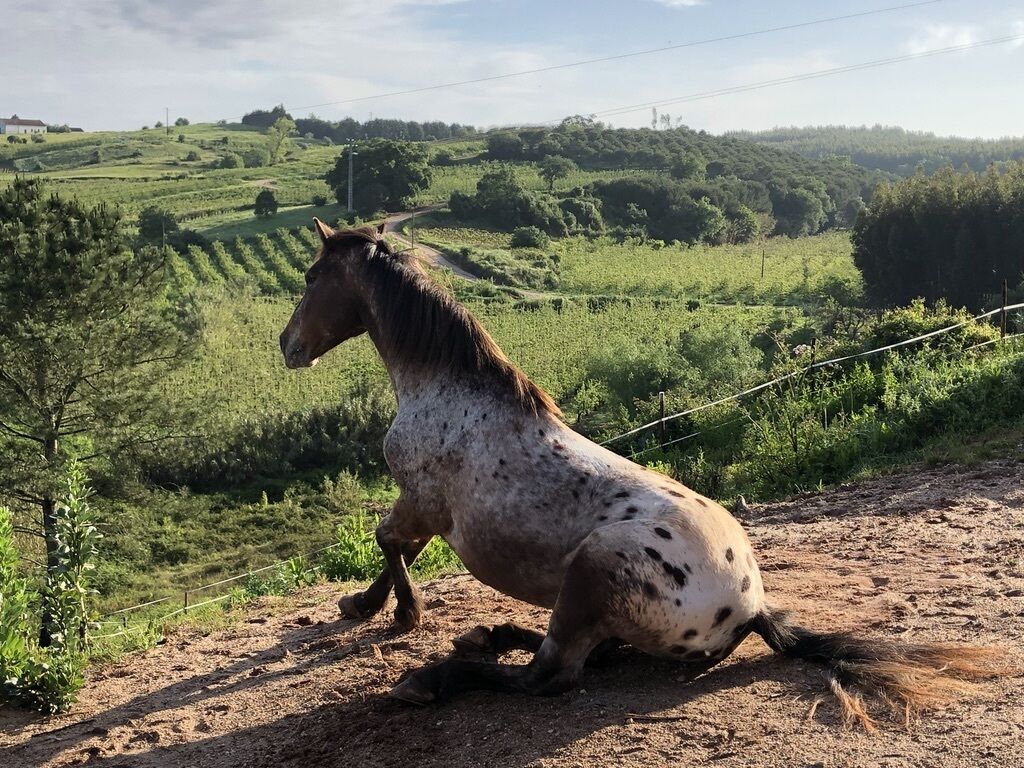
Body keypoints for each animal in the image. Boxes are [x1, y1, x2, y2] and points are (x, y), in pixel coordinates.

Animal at [279, 220, 1002, 728]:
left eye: (313, 275)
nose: (287, 346)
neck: (447, 390)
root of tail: (751, 606)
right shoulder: (425, 505)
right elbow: (395, 549)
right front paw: (366, 606)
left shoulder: (422, 500)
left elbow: (389, 543)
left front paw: (399, 616)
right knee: (590, 655)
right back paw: (488, 635)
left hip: (591, 571)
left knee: (553, 674)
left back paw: (434, 677)